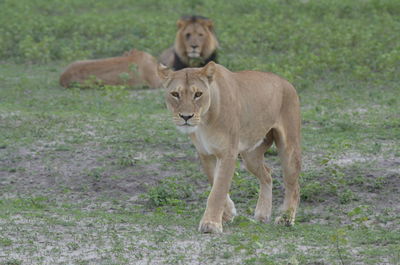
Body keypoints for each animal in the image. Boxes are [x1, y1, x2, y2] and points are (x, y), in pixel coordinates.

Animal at [158, 60, 302, 232]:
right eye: (175, 94)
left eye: (198, 94)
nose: (186, 117)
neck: (204, 121)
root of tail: (287, 83)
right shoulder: (205, 153)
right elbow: (214, 181)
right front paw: (227, 214)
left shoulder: (228, 153)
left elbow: (218, 189)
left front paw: (211, 223)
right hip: (250, 156)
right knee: (267, 174)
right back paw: (262, 214)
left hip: (289, 147)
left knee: (293, 185)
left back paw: (286, 218)